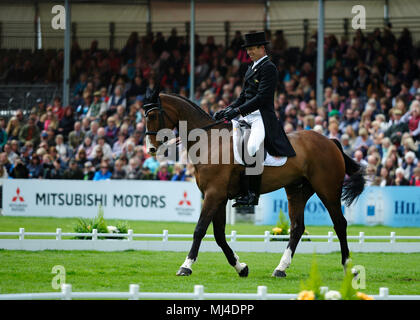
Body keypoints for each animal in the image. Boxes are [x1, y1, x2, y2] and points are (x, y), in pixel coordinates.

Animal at [142, 92, 364, 278]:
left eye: (152, 115)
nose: (151, 148)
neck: (210, 142)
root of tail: (329, 141)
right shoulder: (217, 196)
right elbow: (219, 235)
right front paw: (241, 267)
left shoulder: (214, 194)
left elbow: (200, 229)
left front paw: (186, 266)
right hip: (296, 191)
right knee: (297, 228)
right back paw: (280, 269)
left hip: (327, 189)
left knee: (340, 224)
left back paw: (348, 267)